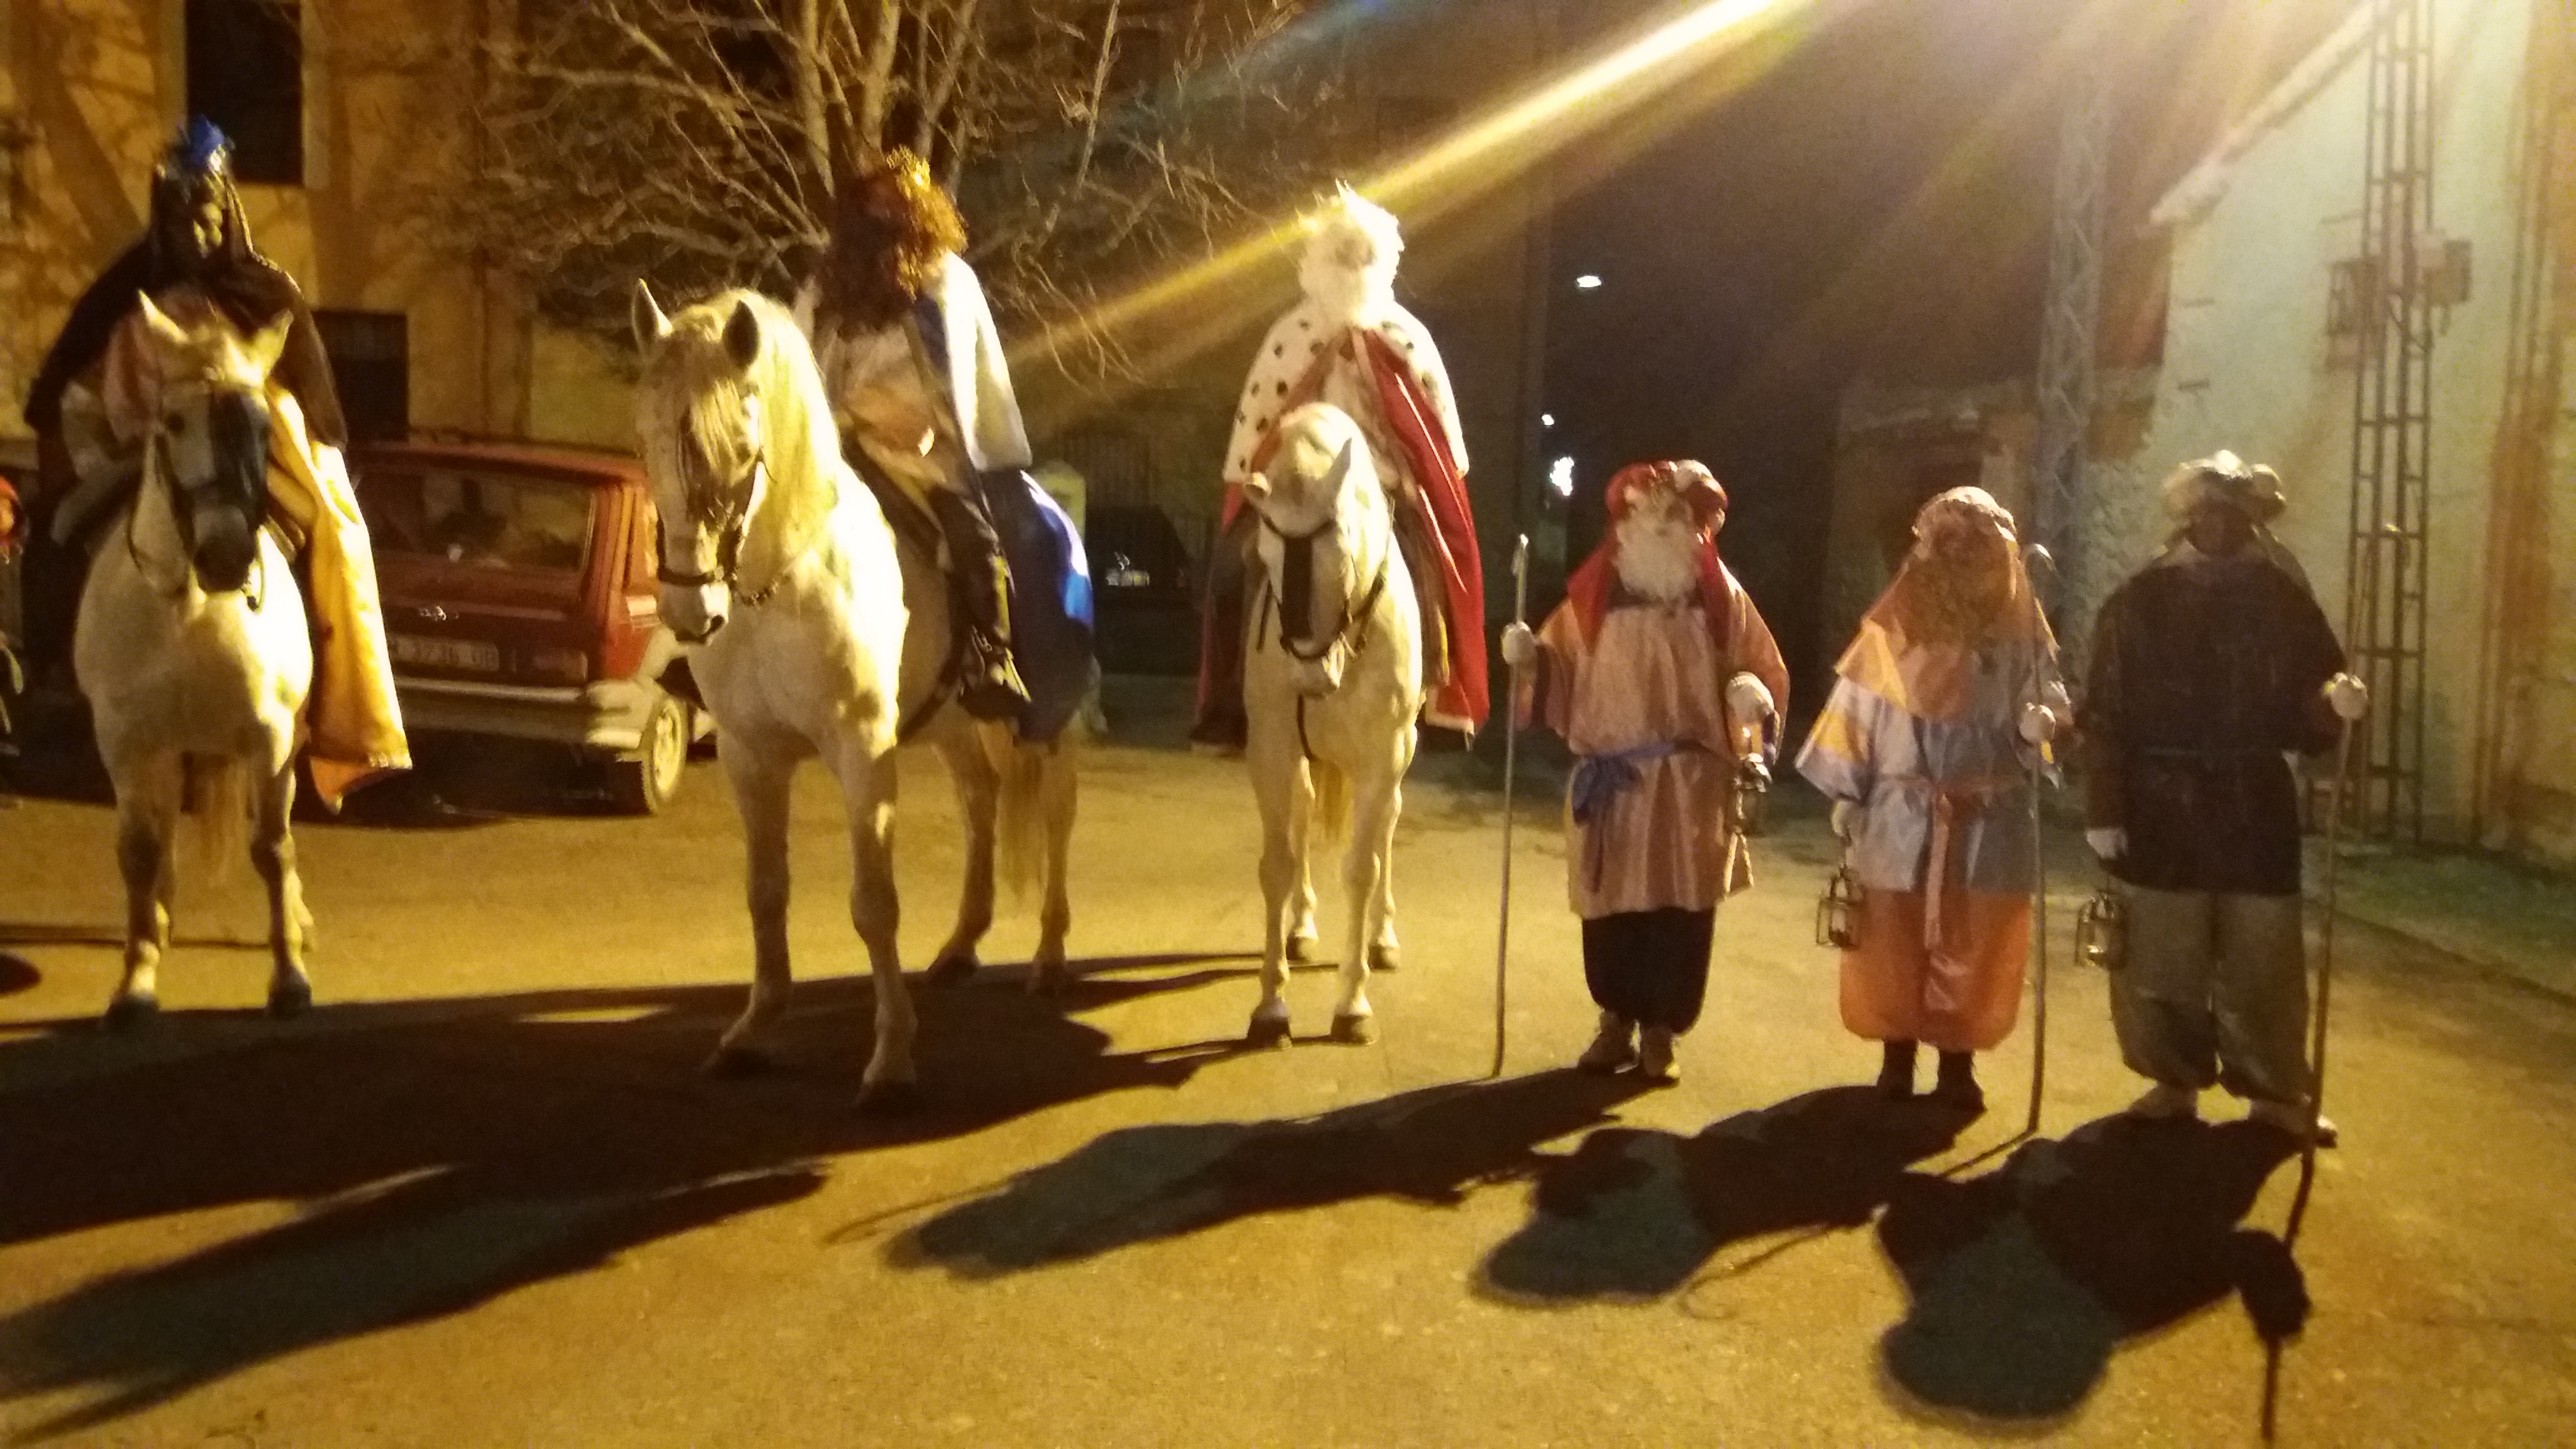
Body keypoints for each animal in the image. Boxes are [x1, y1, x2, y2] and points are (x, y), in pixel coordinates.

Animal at [75, 294, 314, 1021]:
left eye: (264, 425)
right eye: (175, 422)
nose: (226, 555)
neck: (191, 611)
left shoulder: (269, 738)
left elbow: (272, 850)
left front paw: (289, 976)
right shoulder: (126, 742)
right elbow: (140, 851)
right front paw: (136, 978)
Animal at [633, 280, 1076, 1093]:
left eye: (742, 451)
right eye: (643, 443)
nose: (688, 610)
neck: (779, 581)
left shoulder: (862, 749)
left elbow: (874, 905)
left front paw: (893, 1056)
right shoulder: (750, 754)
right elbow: (765, 892)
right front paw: (753, 1029)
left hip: (1049, 728)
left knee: (1056, 819)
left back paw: (1051, 956)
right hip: (955, 726)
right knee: (980, 803)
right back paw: (961, 945)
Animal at [1236, 399, 1422, 1042]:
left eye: (1340, 549)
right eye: (1265, 556)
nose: (1310, 679)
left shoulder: (1382, 756)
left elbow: (1363, 869)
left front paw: (1352, 1004)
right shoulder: (1271, 750)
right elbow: (1275, 865)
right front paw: (1271, 1003)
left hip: (1400, 755)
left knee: (1388, 826)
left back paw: (1384, 938)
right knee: (1302, 815)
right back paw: (1302, 928)